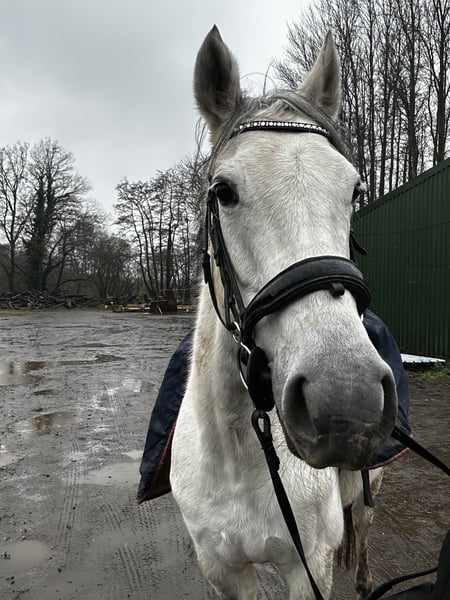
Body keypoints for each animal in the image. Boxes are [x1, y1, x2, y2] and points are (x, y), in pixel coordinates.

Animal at [170, 26, 398, 600]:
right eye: (223, 191)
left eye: (355, 190)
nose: (348, 403)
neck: (238, 454)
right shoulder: (223, 569)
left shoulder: (308, 564)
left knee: (364, 526)